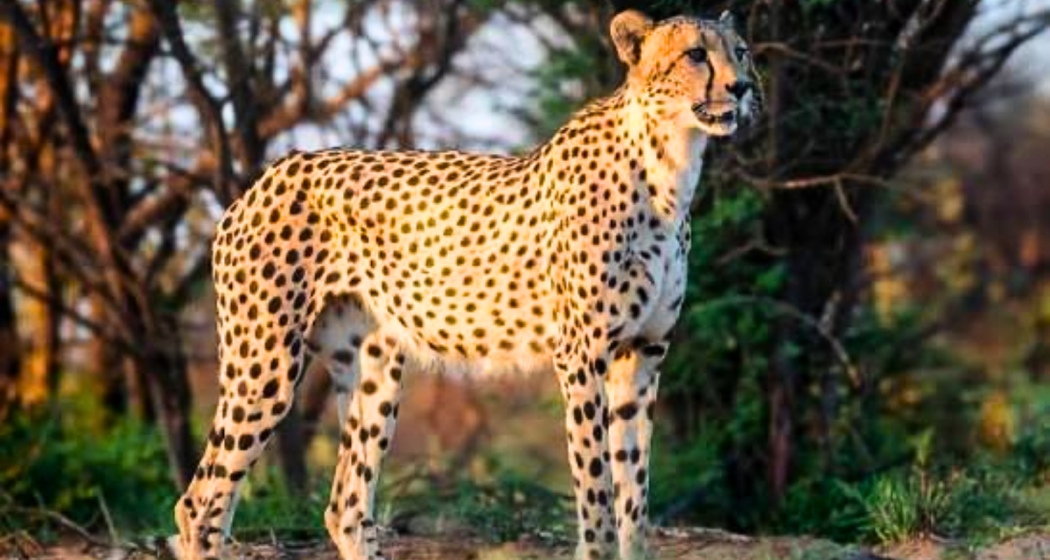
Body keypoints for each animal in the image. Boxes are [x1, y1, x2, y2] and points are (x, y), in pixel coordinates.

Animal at [173, 9, 760, 560]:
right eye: (695, 54)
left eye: (741, 51)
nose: (742, 87)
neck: (670, 165)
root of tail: (267, 176)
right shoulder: (582, 355)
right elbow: (595, 486)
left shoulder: (642, 355)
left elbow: (633, 488)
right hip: (264, 364)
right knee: (201, 503)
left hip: (374, 369)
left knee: (345, 507)